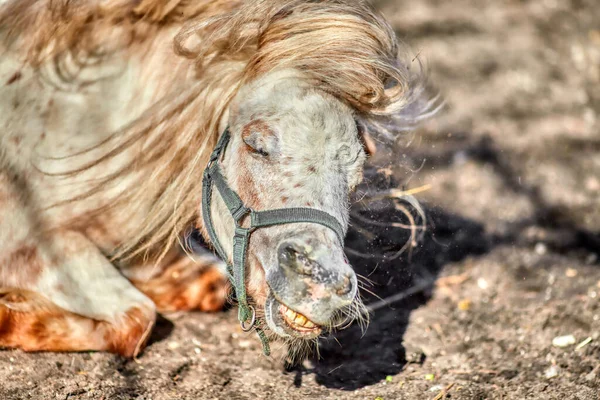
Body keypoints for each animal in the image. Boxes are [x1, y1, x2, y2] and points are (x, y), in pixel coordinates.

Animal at [0, 0, 432, 356]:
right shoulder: (31, 247)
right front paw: (9, 317)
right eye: (256, 145)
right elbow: (136, 319)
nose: (323, 285)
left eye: (356, 173)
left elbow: (200, 286)